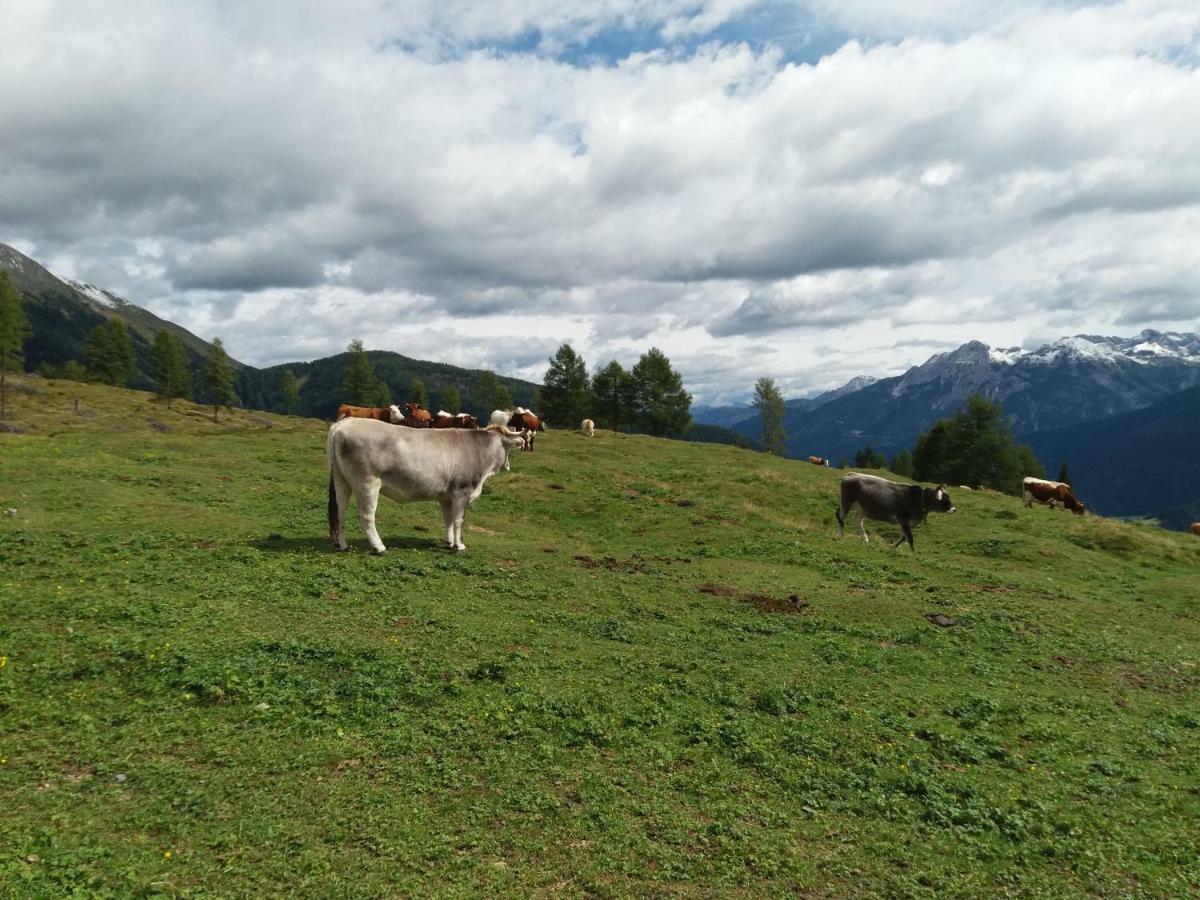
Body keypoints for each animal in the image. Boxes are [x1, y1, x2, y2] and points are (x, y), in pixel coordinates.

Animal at [326, 417, 528, 556]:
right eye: (509, 449)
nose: (508, 466)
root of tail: (342, 424)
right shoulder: (462, 491)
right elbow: (458, 520)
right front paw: (459, 545)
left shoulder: (446, 496)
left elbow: (448, 519)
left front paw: (449, 542)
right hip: (368, 482)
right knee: (366, 515)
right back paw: (379, 547)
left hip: (342, 481)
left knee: (339, 512)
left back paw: (342, 545)